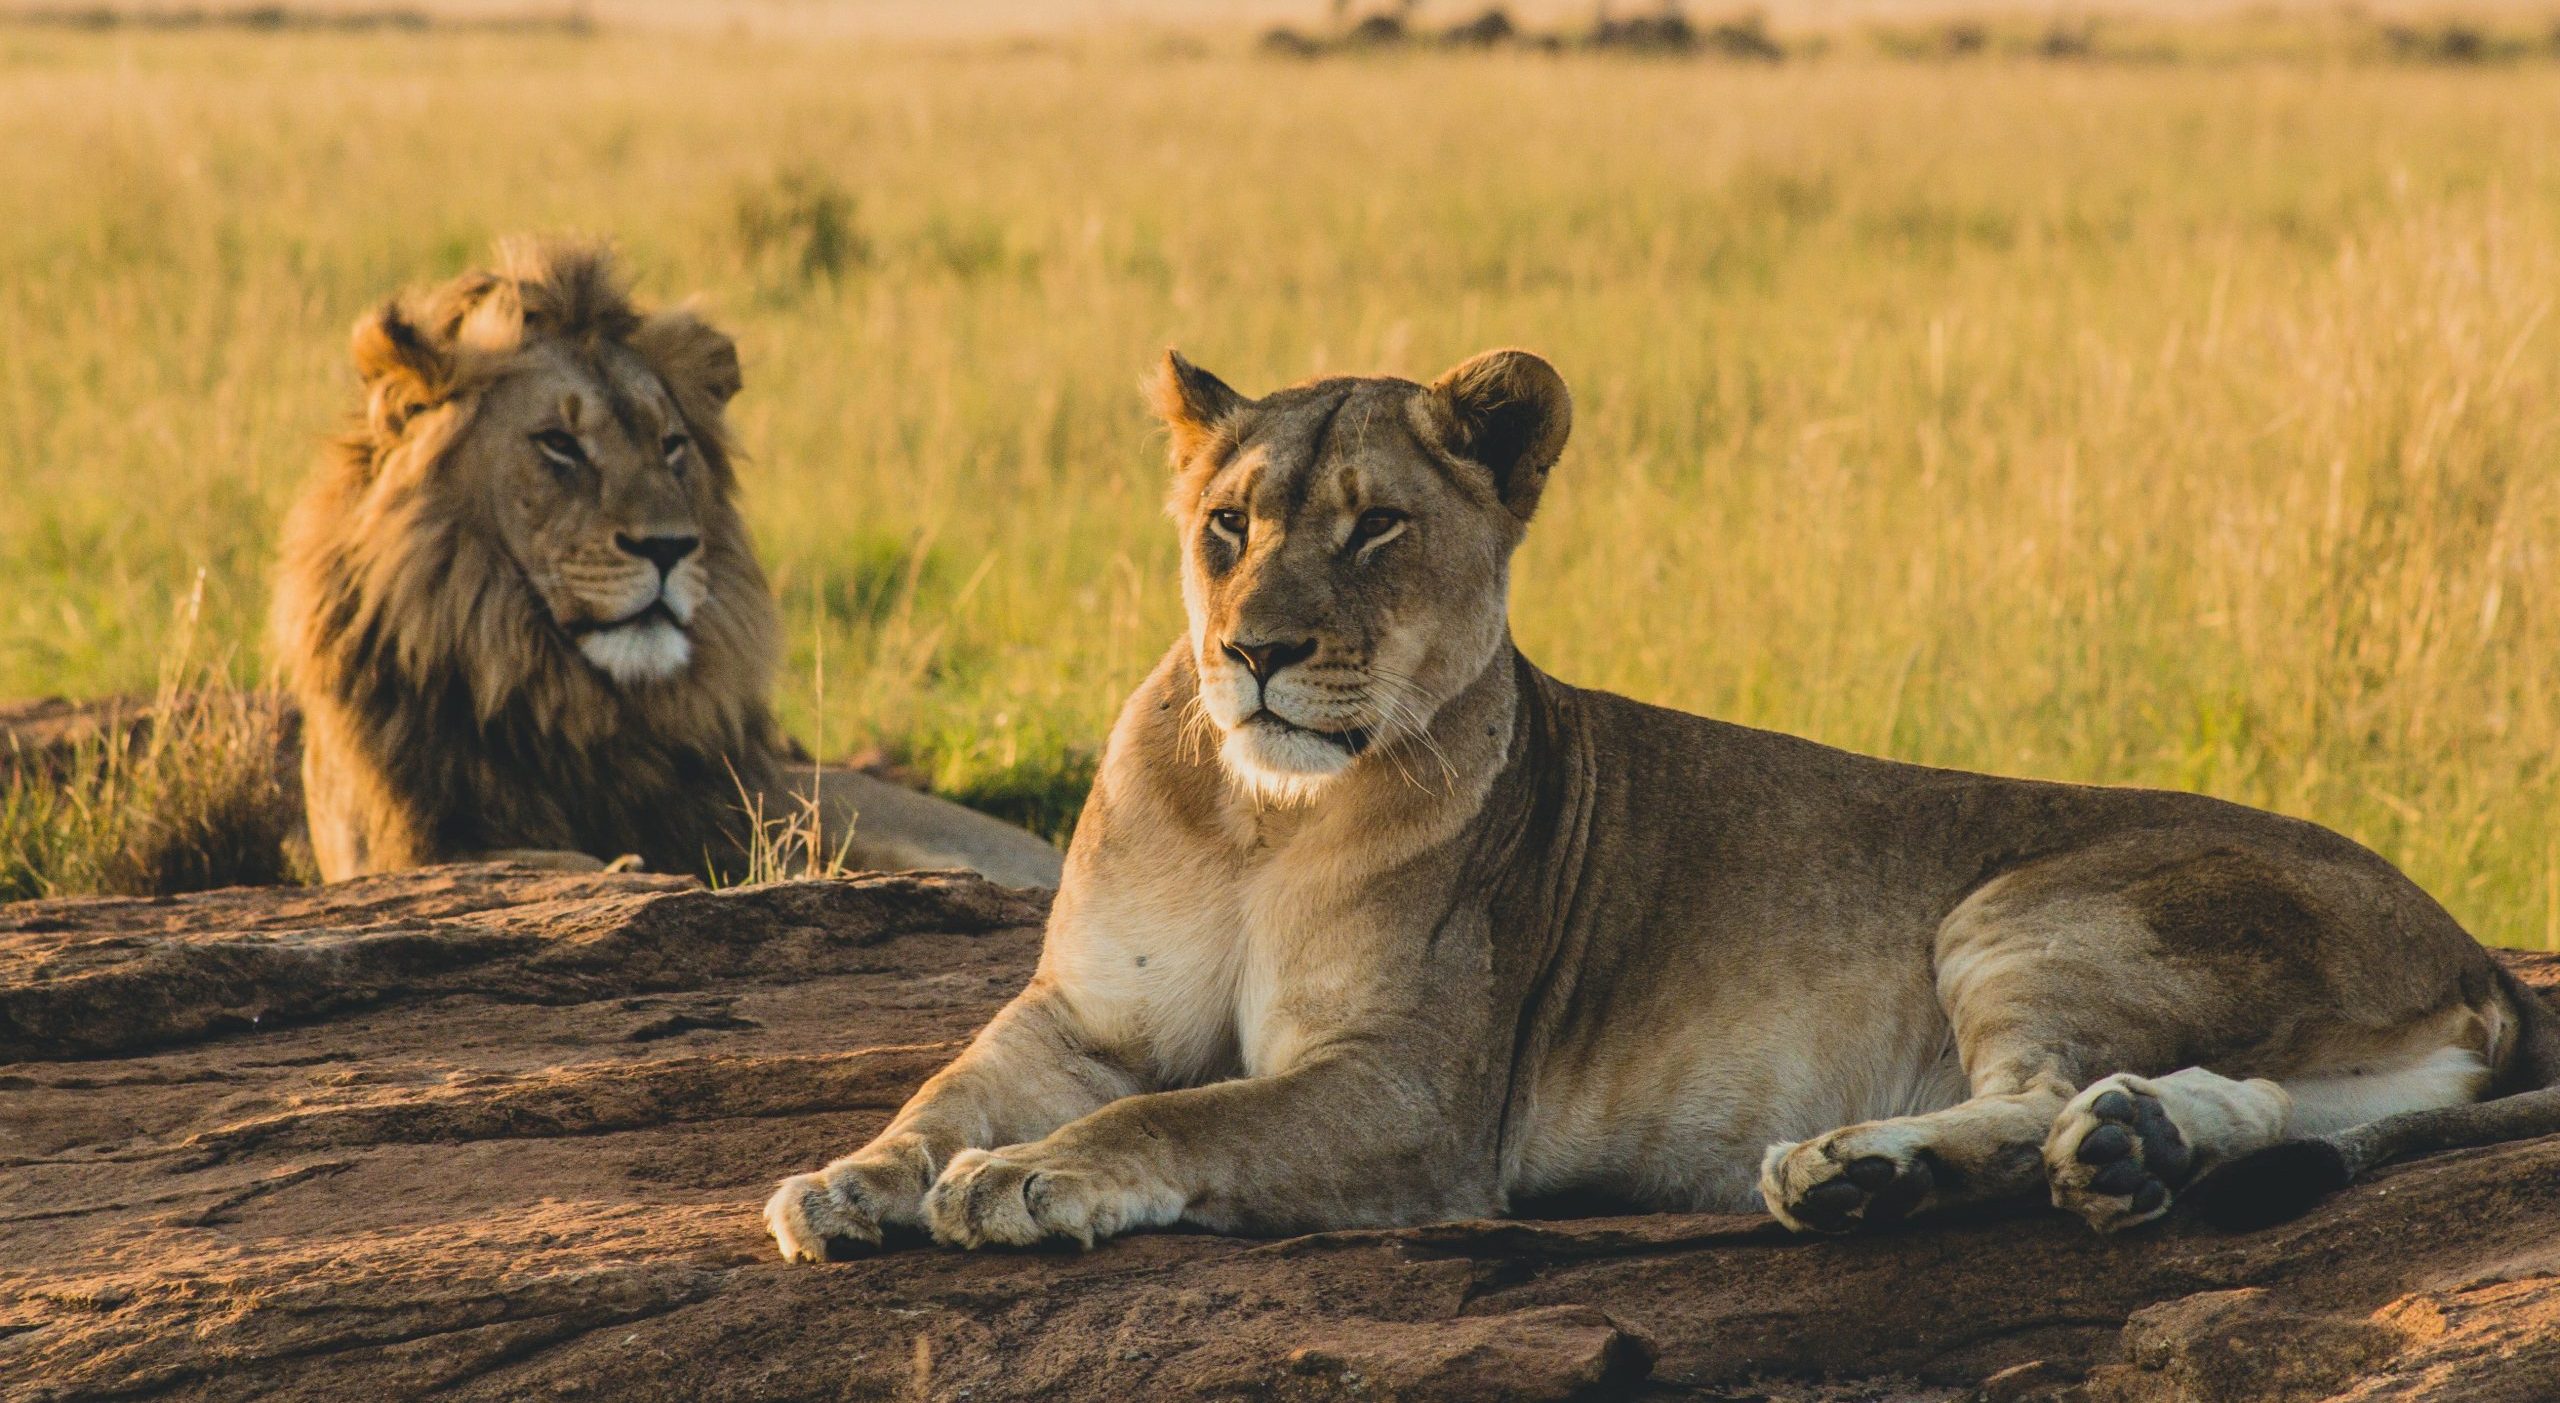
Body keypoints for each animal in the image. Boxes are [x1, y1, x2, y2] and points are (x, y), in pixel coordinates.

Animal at [765, 347, 2559, 1259]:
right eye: (1228, 524)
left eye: (1375, 526)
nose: (1256, 651)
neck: (1259, 815)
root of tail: (2475, 950)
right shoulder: (1083, 1012)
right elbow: (949, 1085)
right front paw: (848, 1181)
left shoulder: (1413, 1094)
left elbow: (1176, 1118)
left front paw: (1023, 1181)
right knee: (2225, 1101)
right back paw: (2114, 1148)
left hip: (2025, 901)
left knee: (2043, 1087)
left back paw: (1867, 1166)